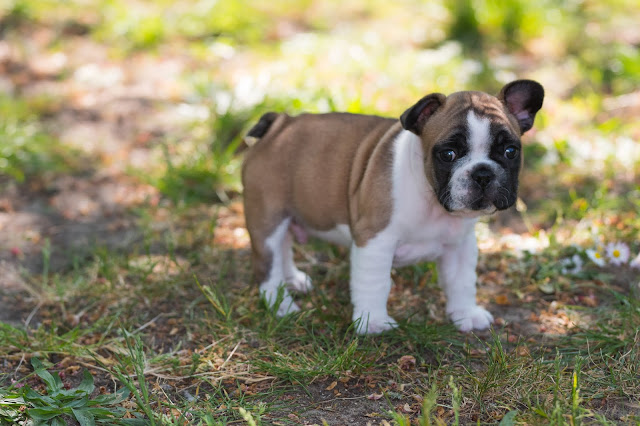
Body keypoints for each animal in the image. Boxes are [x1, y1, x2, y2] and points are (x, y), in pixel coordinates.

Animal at [242, 79, 544, 332]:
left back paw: (292, 280)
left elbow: (461, 282)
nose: (483, 173)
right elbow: (375, 283)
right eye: (448, 154)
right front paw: (373, 322)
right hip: (267, 220)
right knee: (267, 267)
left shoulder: (460, 244)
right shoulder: (375, 241)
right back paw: (281, 304)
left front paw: (466, 314)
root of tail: (279, 125)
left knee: (284, 246)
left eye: (510, 151)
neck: (432, 201)